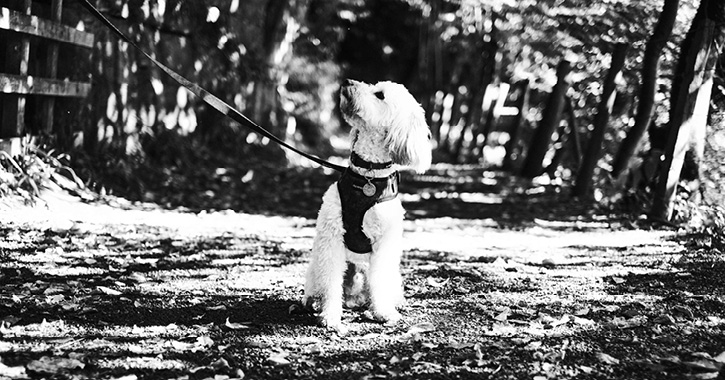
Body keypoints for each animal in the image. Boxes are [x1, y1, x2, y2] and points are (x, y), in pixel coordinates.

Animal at [304, 79, 432, 332]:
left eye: (379, 95)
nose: (347, 82)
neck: (368, 176)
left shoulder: (385, 242)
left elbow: (379, 280)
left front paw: (383, 312)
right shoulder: (331, 238)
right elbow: (331, 281)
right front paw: (330, 314)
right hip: (319, 266)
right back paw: (314, 301)